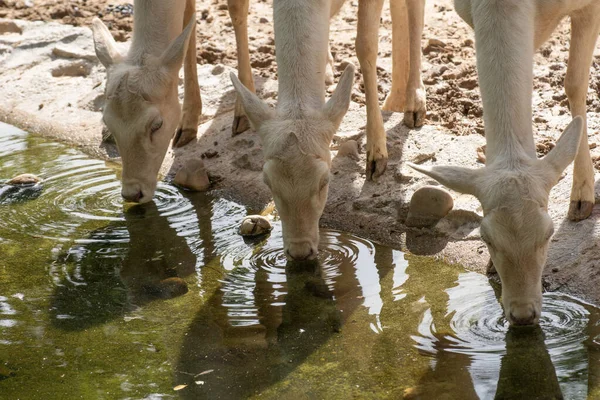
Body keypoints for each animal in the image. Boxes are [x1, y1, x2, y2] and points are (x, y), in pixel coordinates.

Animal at [227, 0, 428, 180]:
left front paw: (376, 159)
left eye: (324, 179)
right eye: (266, 179)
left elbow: (366, 44)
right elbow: (236, 9)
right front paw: (240, 115)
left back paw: (413, 107)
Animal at [412, 0, 600, 324]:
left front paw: (581, 199)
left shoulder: (588, 8)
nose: (523, 314)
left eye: (549, 234)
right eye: (486, 238)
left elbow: (575, 83)